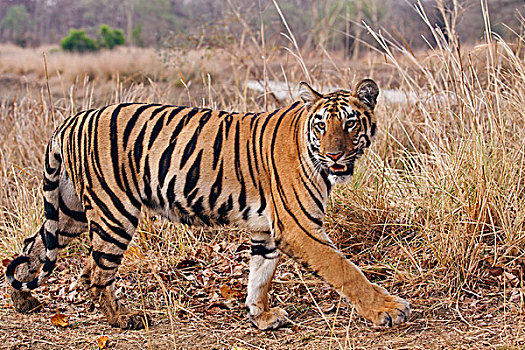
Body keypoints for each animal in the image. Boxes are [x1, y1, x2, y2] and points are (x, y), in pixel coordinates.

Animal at [6, 79, 412, 330]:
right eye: (322, 126)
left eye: (350, 124)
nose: (335, 155)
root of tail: (73, 118)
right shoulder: (300, 227)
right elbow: (347, 271)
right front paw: (388, 310)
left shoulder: (267, 231)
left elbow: (260, 276)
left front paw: (261, 316)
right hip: (114, 212)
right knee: (93, 272)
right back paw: (123, 320)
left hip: (69, 212)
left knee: (30, 249)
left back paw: (22, 300)